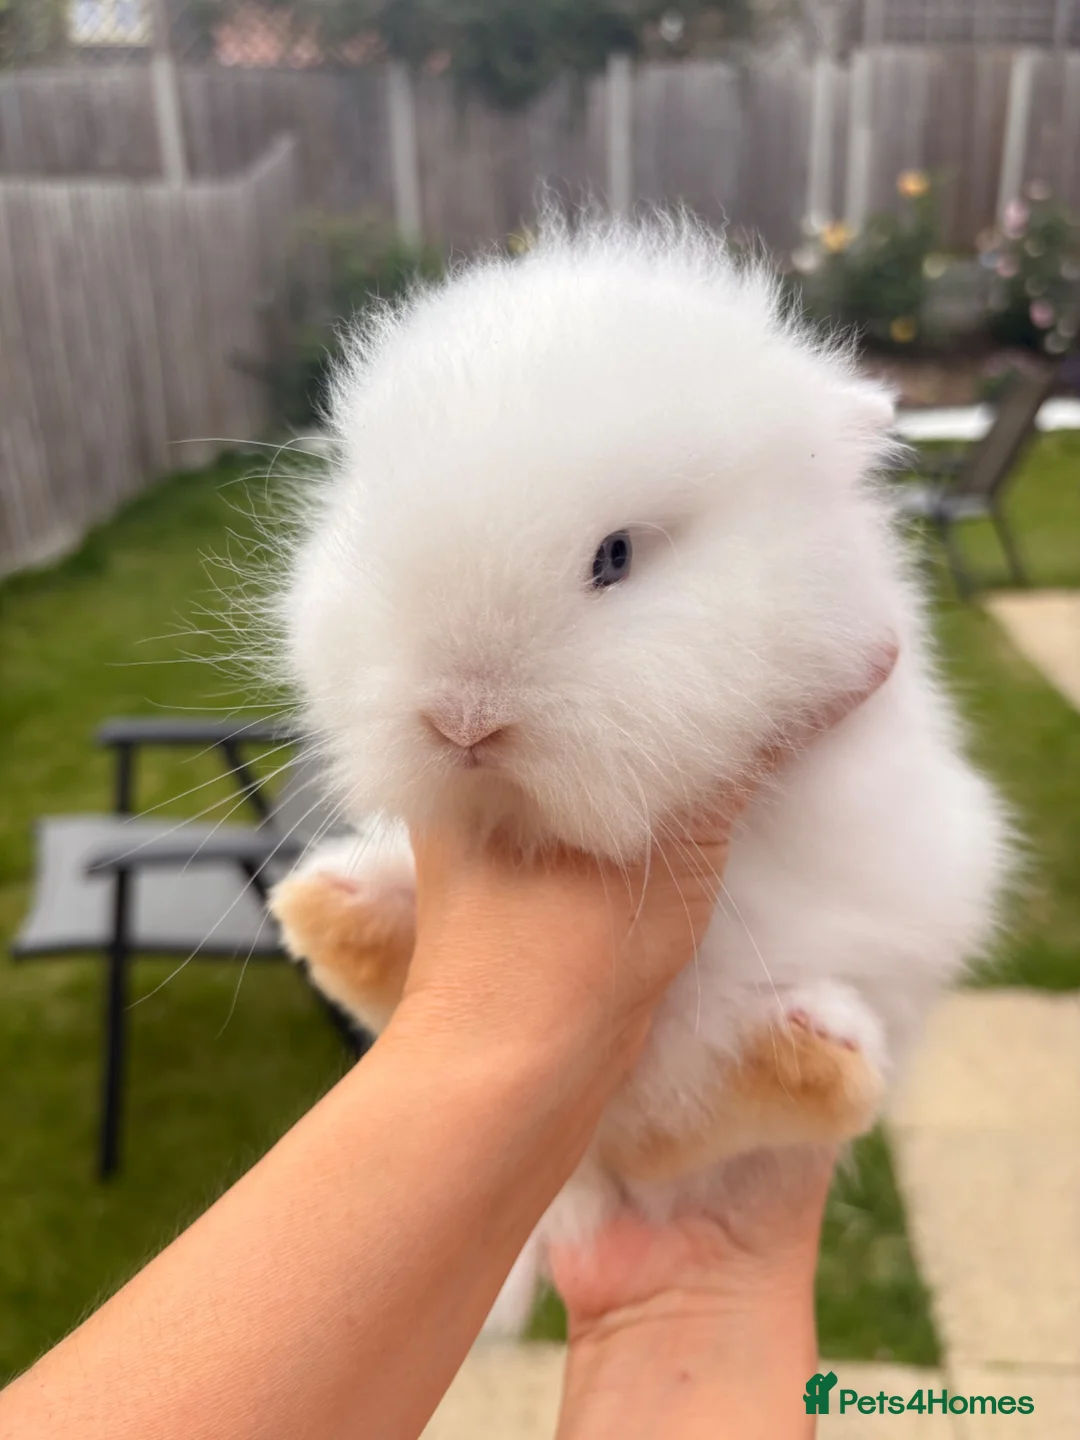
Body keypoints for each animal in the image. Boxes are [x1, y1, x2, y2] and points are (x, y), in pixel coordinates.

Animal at [267, 214, 1011, 1335]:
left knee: (691, 1124)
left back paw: (808, 1052)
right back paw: (330, 908)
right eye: (376, 538)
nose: (463, 720)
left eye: (614, 557)